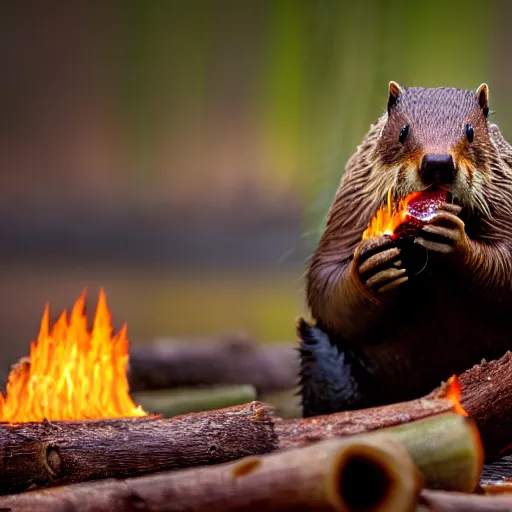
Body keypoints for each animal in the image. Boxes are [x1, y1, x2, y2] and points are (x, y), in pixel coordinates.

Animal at [302, 80, 512, 416]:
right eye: (403, 131)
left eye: (470, 131)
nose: (437, 163)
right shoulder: (349, 210)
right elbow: (324, 284)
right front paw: (372, 267)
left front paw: (454, 239)